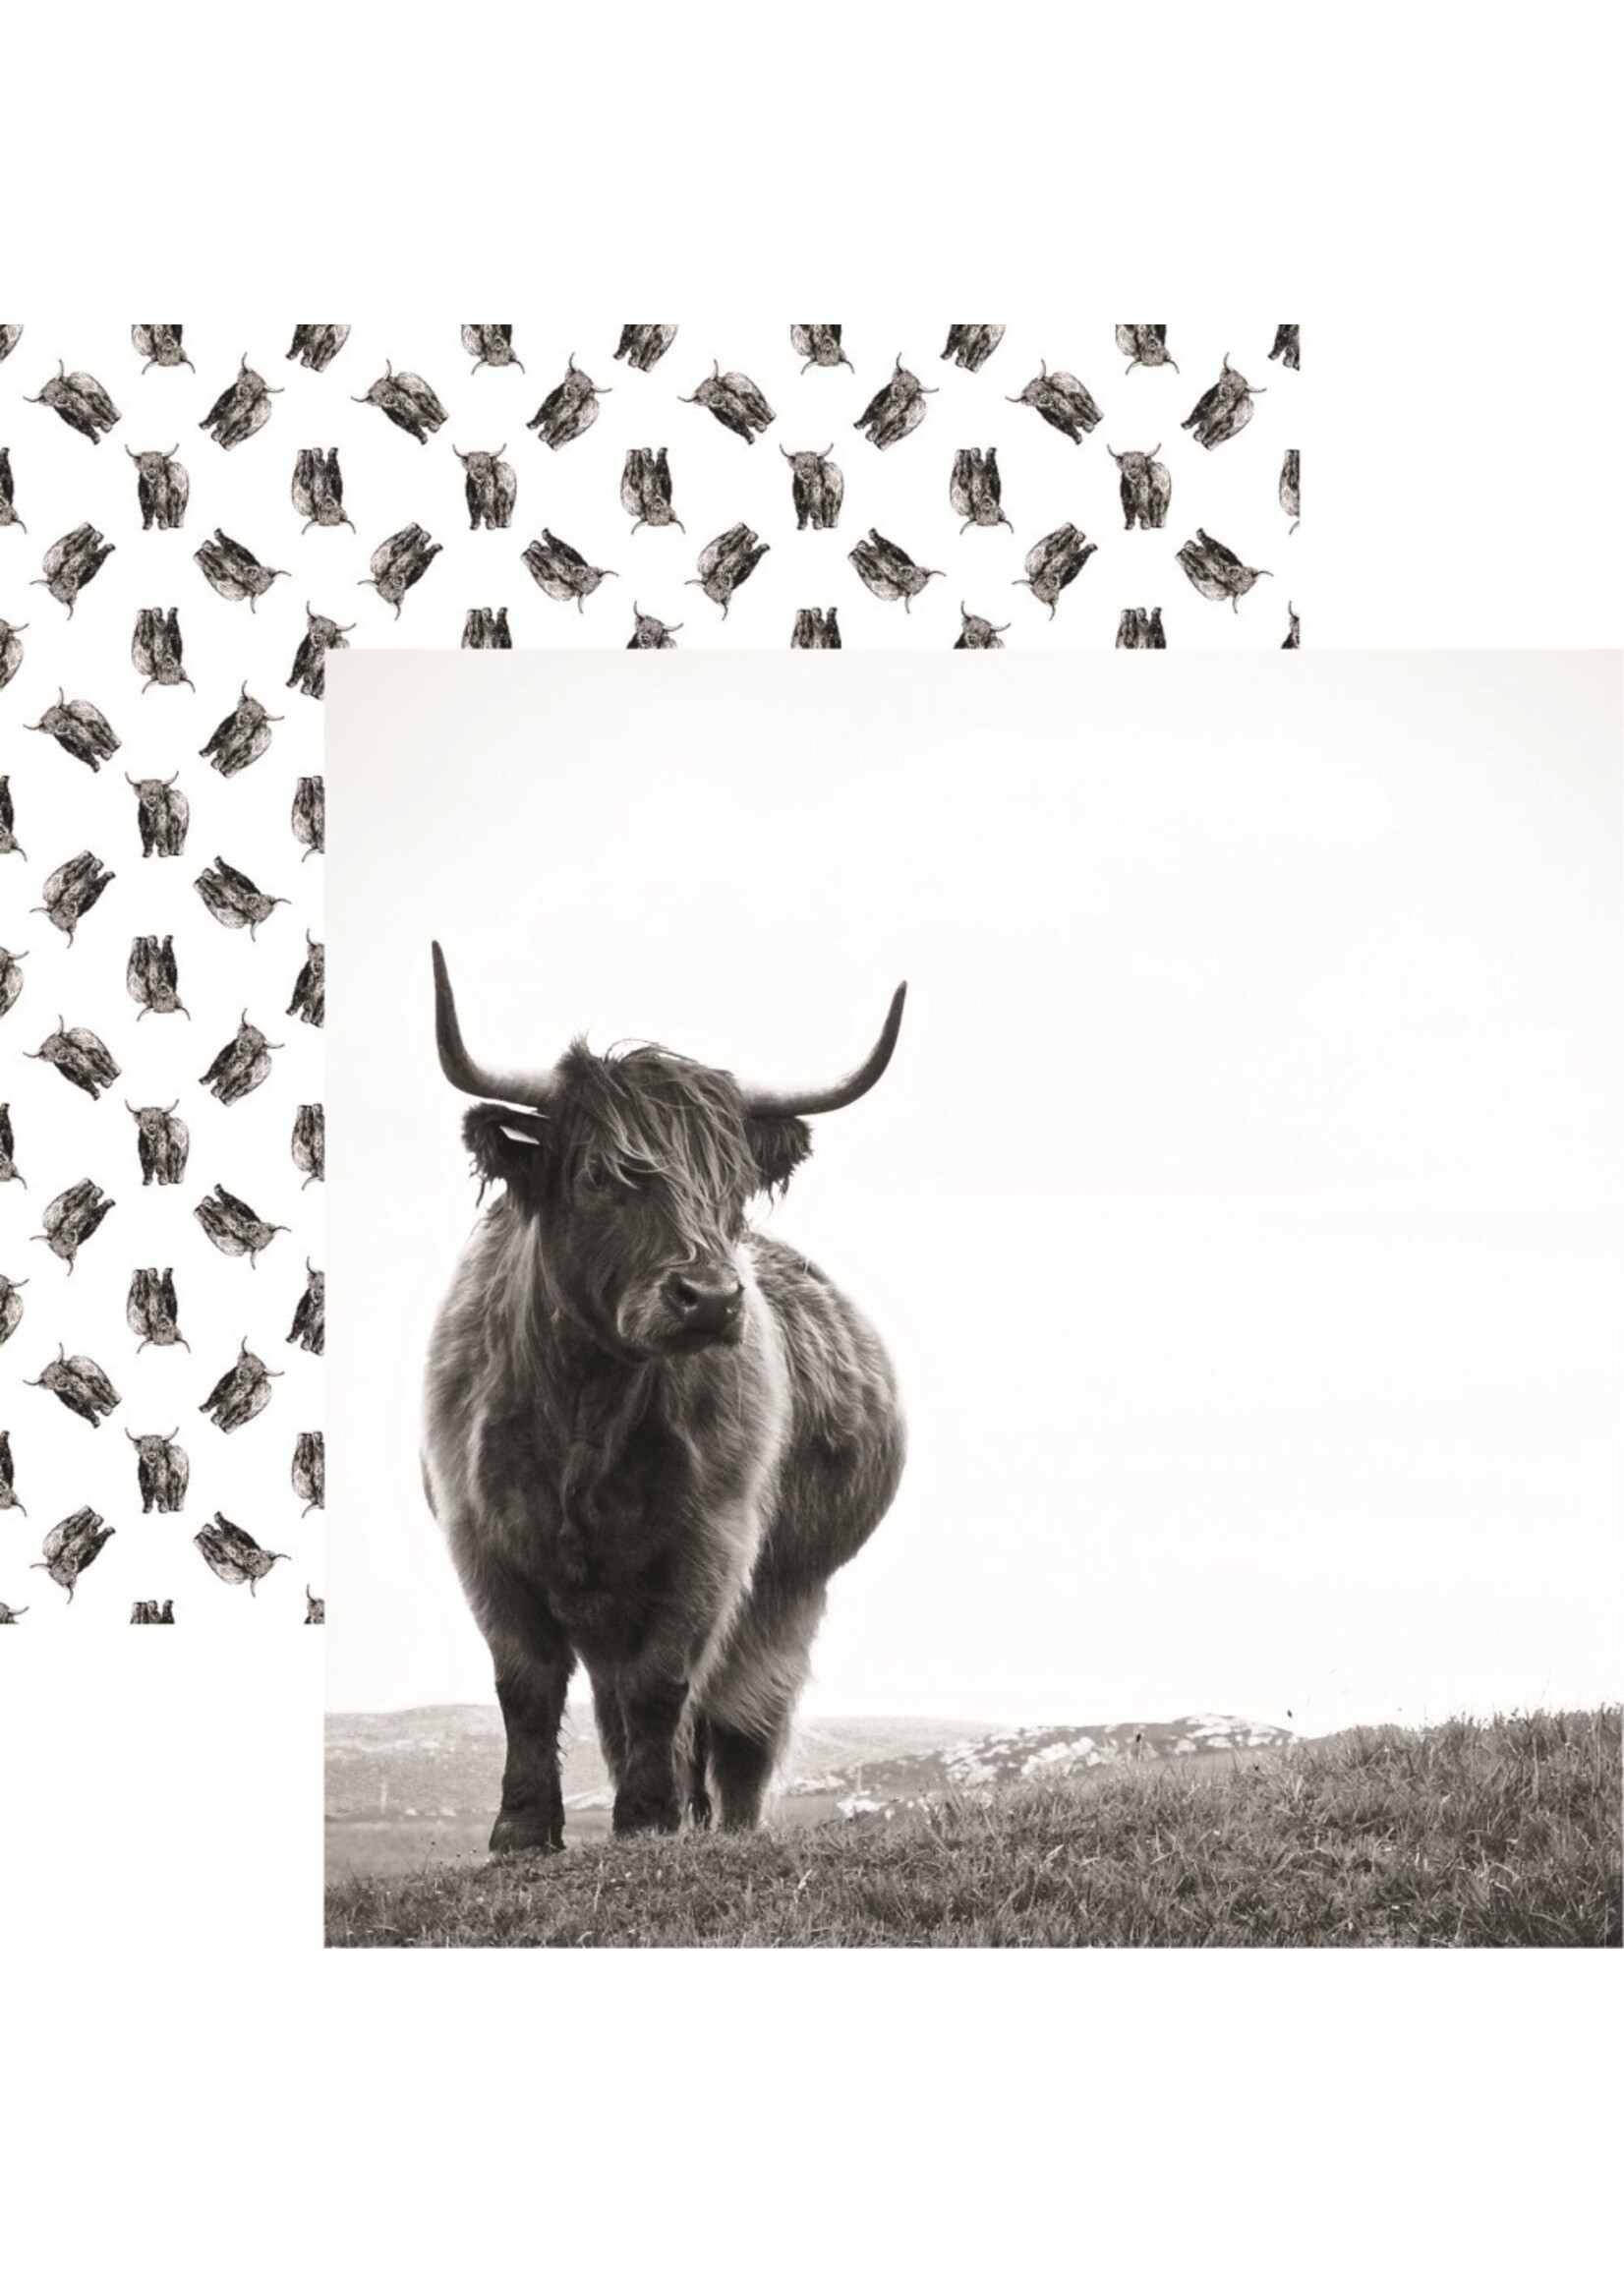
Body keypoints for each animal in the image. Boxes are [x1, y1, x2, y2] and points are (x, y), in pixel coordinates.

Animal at [421, 946, 908, 1851]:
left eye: (732, 1187)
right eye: (597, 1175)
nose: (711, 1298)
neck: (586, 1404)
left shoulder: (710, 1546)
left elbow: (663, 1685)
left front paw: (648, 1822)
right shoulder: (482, 1541)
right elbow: (526, 1684)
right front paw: (521, 1829)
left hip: (788, 1593)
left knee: (740, 1724)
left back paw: (724, 1825)